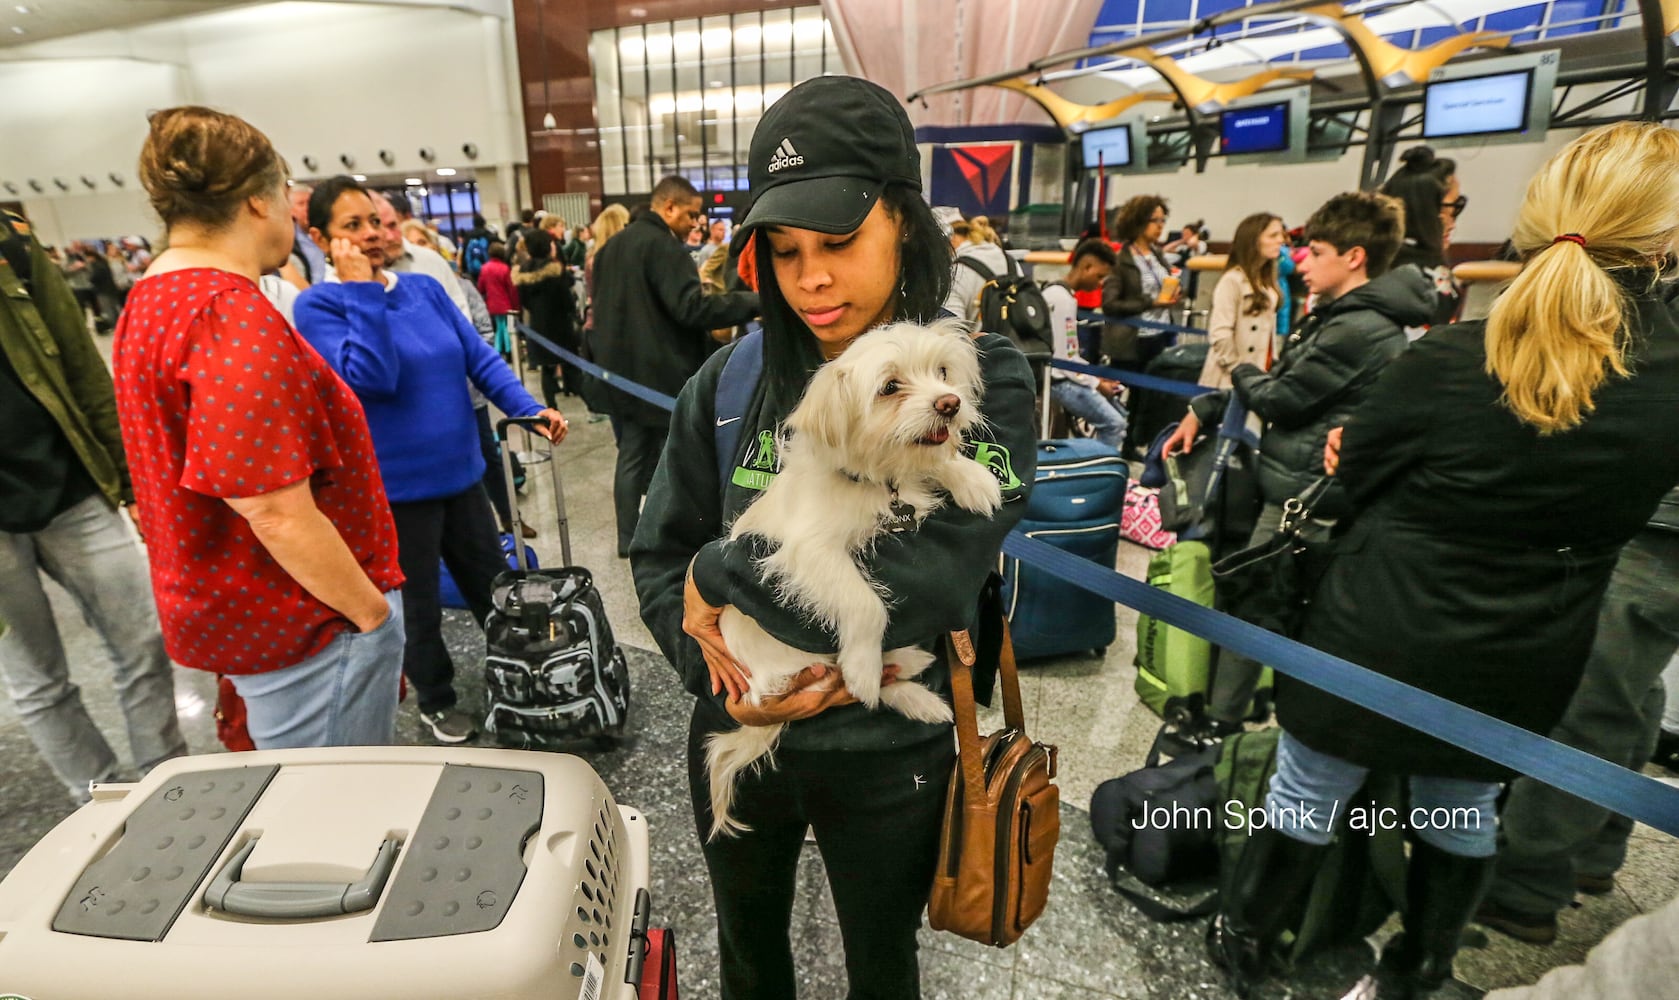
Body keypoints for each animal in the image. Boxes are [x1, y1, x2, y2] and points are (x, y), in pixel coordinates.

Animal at [705, 320, 1000, 835]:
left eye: (942, 373)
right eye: (890, 387)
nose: (950, 403)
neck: (876, 479)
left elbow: (936, 459)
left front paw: (973, 478)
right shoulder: (810, 554)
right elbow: (867, 605)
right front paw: (864, 665)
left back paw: (916, 679)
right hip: (799, 665)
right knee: (849, 679)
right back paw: (891, 678)